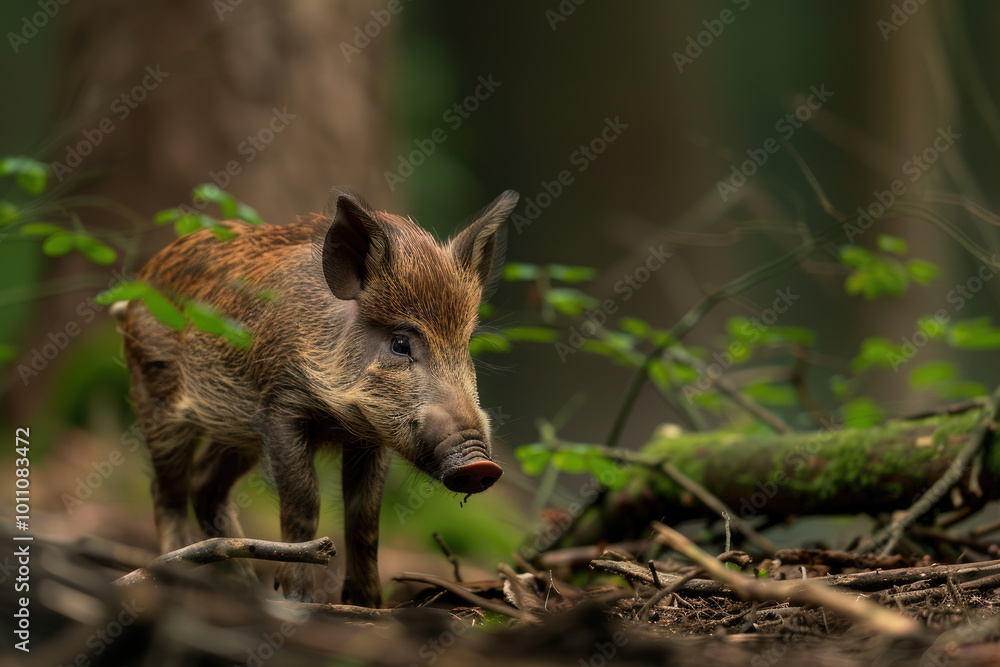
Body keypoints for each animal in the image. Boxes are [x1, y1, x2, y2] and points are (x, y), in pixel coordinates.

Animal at [118, 187, 518, 606]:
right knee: (168, 491)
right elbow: (304, 502)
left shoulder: (370, 438)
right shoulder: (281, 409)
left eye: (465, 345)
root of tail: (139, 287)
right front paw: (300, 601)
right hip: (158, 401)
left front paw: (366, 605)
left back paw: (246, 589)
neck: (340, 416)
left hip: (237, 432)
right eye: (400, 343)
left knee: (206, 485)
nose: (481, 465)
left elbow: (364, 517)